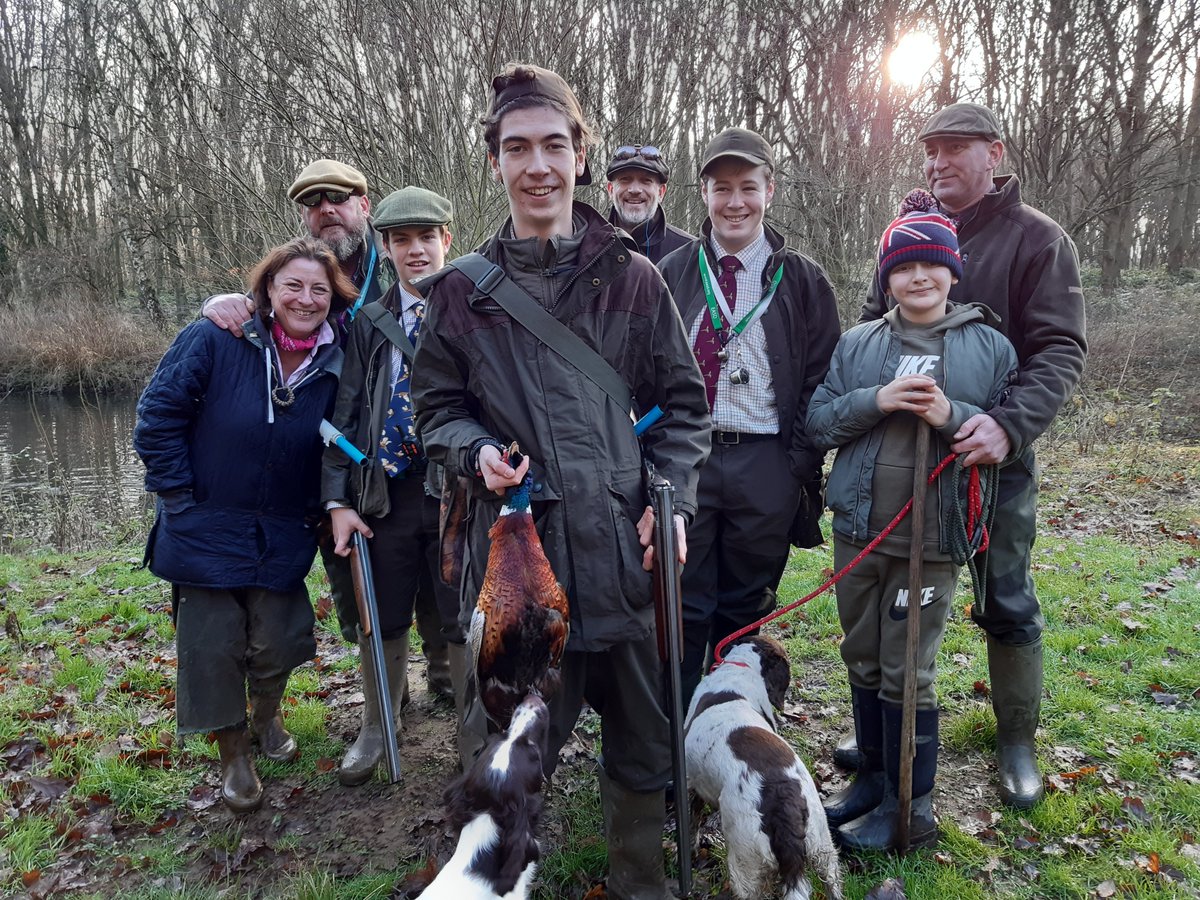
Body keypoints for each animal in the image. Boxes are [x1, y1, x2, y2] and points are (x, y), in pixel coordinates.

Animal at [686, 633, 844, 900]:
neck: (740, 669)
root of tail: (785, 805)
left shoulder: (691, 782)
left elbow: (692, 823)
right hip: (822, 844)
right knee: (832, 882)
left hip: (746, 860)